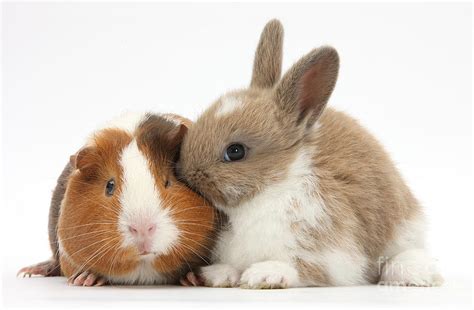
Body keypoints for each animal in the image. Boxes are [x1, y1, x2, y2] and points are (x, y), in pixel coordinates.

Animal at [178, 19, 440, 288]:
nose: (184, 171)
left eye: (235, 151)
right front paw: (217, 274)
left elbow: (302, 267)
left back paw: (409, 275)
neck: (273, 188)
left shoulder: (331, 253)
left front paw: (265, 274)